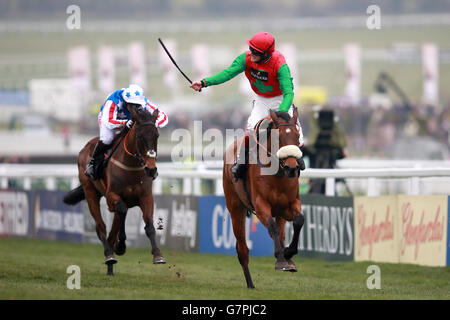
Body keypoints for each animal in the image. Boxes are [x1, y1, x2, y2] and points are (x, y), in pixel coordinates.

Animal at [63, 105, 165, 276]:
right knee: (101, 227)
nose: (151, 169)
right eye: (140, 136)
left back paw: (110, 265)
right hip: (90, 192)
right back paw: (109, 255)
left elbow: (149, 225)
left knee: (112, 232)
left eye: (156, 135)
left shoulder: (145, 196)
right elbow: (121, 210)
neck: (131, 166)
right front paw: (121, 245)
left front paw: (158, 255)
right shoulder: (112, 195)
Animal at [222, 108, 304, 290]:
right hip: (234, 207)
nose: (292, 167)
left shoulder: (289, 204)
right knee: (242, 249)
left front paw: (288, 253)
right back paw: (250, 283)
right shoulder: (260, 205)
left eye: (297, 136)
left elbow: (298, 220)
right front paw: (281, 260)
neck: (277, 174)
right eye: (279, 137)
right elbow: (272, 227)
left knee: (281, 233)